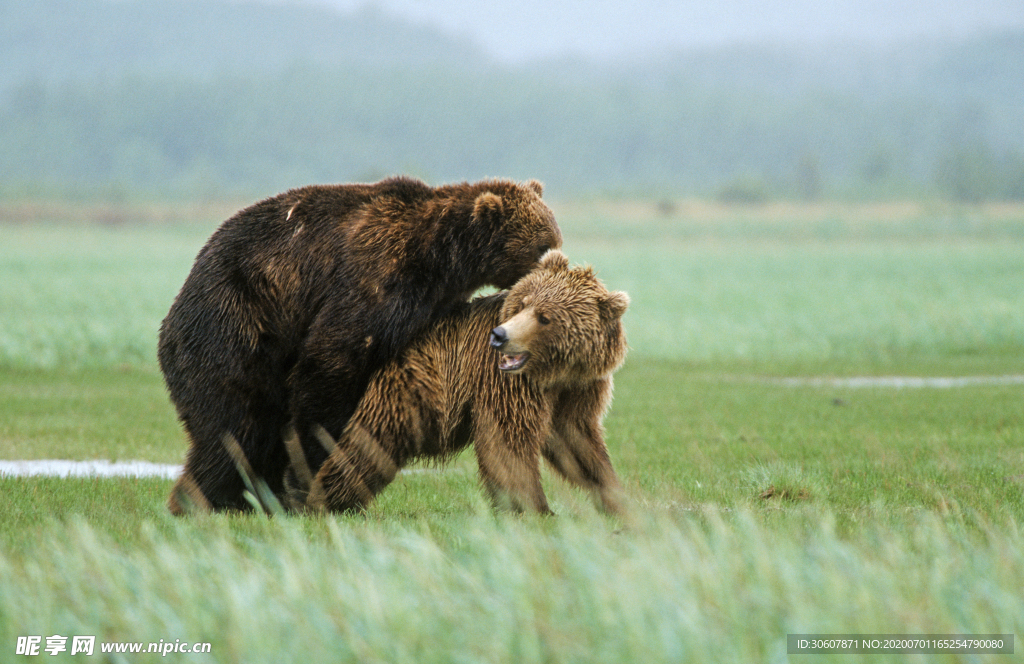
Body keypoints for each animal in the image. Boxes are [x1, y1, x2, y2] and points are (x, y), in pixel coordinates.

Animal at [158, 176, 561, 514]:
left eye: (554, 238)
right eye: (542, 245)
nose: (559, 262)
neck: (442, 258)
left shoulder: (434, 301)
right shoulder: (375, 276)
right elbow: (331, 361)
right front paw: (307, 469)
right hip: (235, 326)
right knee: (237, 425)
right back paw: (205, 498)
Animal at [284, 249, 626, 514]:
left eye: (545, 317)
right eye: (522, 303)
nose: (500, 336)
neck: (552, 371)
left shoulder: (580, 386)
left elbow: (576, 440)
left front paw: (616, 500)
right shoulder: (504, 381)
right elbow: (507, 439)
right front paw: (533, 508)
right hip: (400, 386)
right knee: (367, 443)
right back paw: (322, 502)